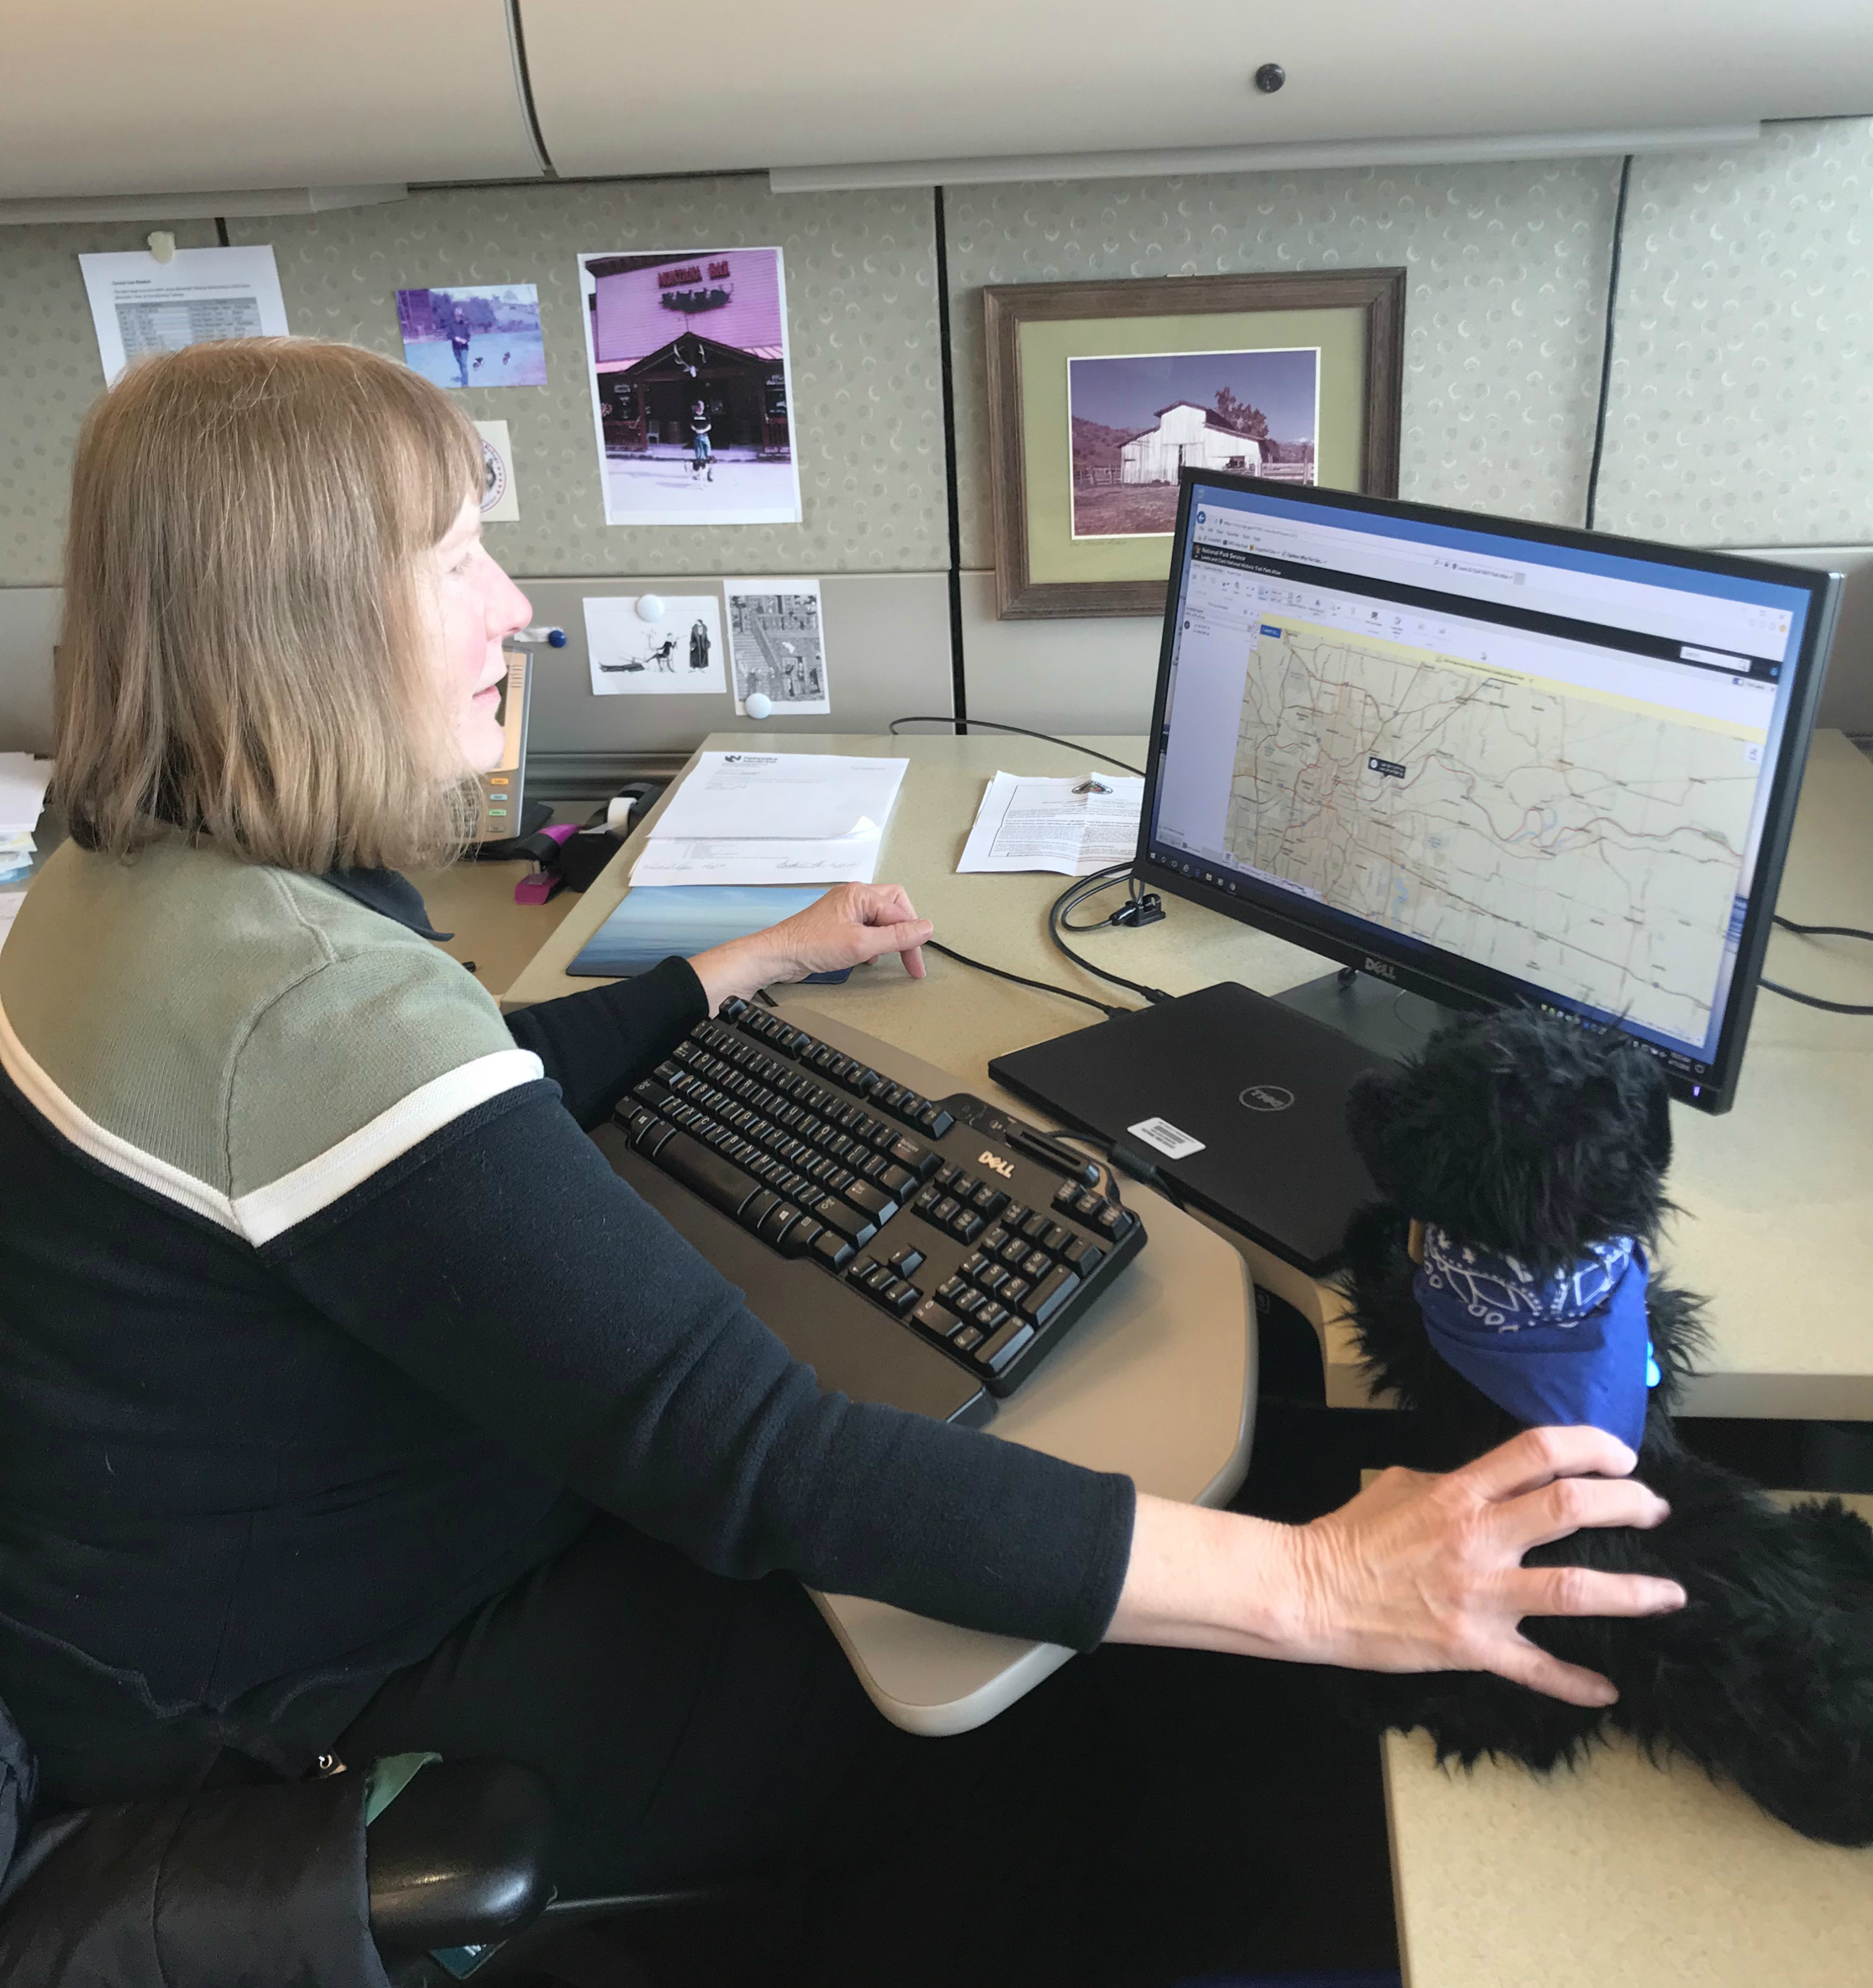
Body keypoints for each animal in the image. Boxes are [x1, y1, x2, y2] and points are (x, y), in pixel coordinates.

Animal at [1336, 1009, 1873, 1844]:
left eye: (1425, 1095)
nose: (1363, 1087)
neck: (1545, 1285)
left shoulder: (1413, 1330)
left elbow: (1388, 1284)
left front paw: (1376, 1226)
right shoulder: (1654, 1310)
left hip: (1522, 1659)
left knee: (1495, 1712)